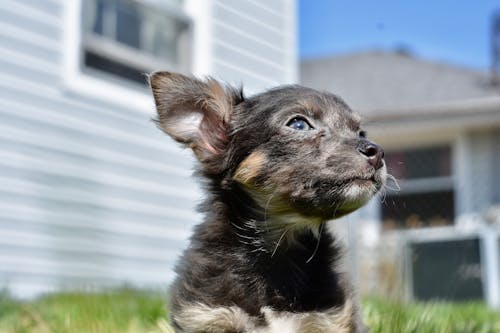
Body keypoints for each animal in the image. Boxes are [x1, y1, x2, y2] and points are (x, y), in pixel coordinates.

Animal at [149, 71, 386, 330]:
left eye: (360, 133)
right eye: (298, 124)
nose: (377, 152)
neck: (279, 249)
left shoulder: (331, 319)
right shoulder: (207, 314)